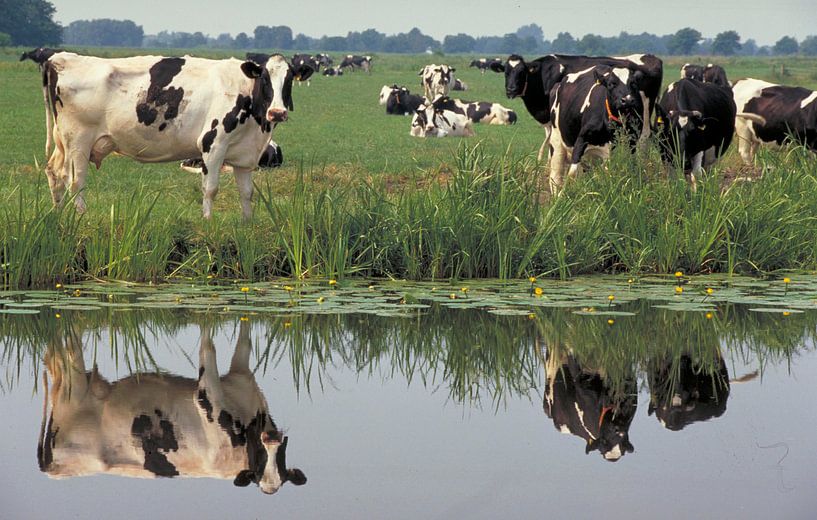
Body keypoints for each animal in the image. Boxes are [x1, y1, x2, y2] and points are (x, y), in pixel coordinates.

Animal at [39, 320, 306, 496]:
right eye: (260, 463)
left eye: (280, 461)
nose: (271, 437)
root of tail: (51, 469)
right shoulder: (207, 393)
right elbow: (208, 346)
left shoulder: (242, 378)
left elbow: (245, 340)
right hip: (74, 382)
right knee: (67, 345)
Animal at [40, 50, 316, 217]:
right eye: (265, 79)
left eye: (289, 79)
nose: (277, 112)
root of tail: (59, 58)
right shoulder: (213, 144)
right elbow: (210, 188)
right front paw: (208, 222)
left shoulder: (245, 155)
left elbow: (247, 193)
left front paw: (247, 225)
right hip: (78, 141)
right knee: (75, 181)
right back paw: (80, 218)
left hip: (63, 142)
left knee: (54, 172)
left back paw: (58, 215)